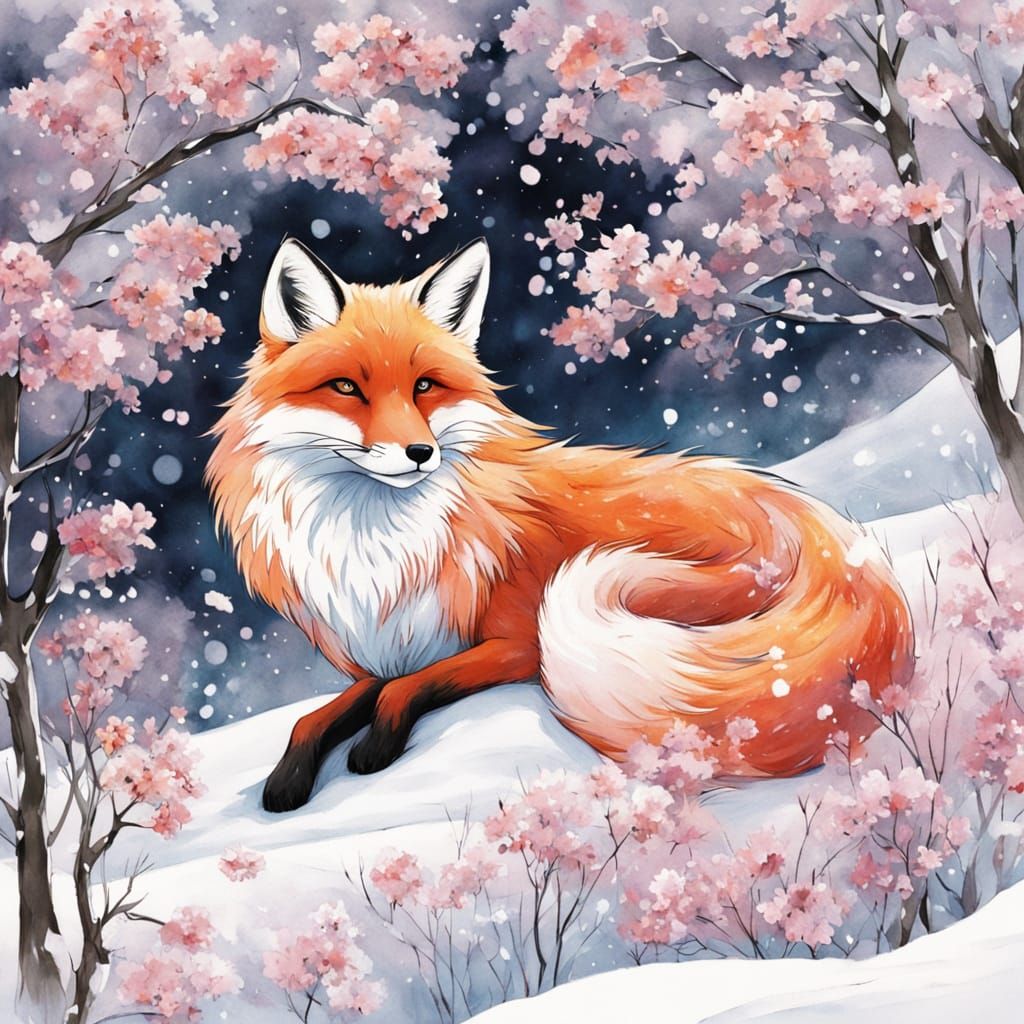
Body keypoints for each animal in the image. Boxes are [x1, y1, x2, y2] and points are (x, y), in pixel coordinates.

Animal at [206, 236, 915, 813]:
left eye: (426, 386)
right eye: (347, 388)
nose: (419, 452)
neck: (378, 547)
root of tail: (828, 533)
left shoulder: (514, 645)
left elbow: (405, 688)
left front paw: (375, 743)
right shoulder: (381, 647)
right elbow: (319, 715)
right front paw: (288, 778)